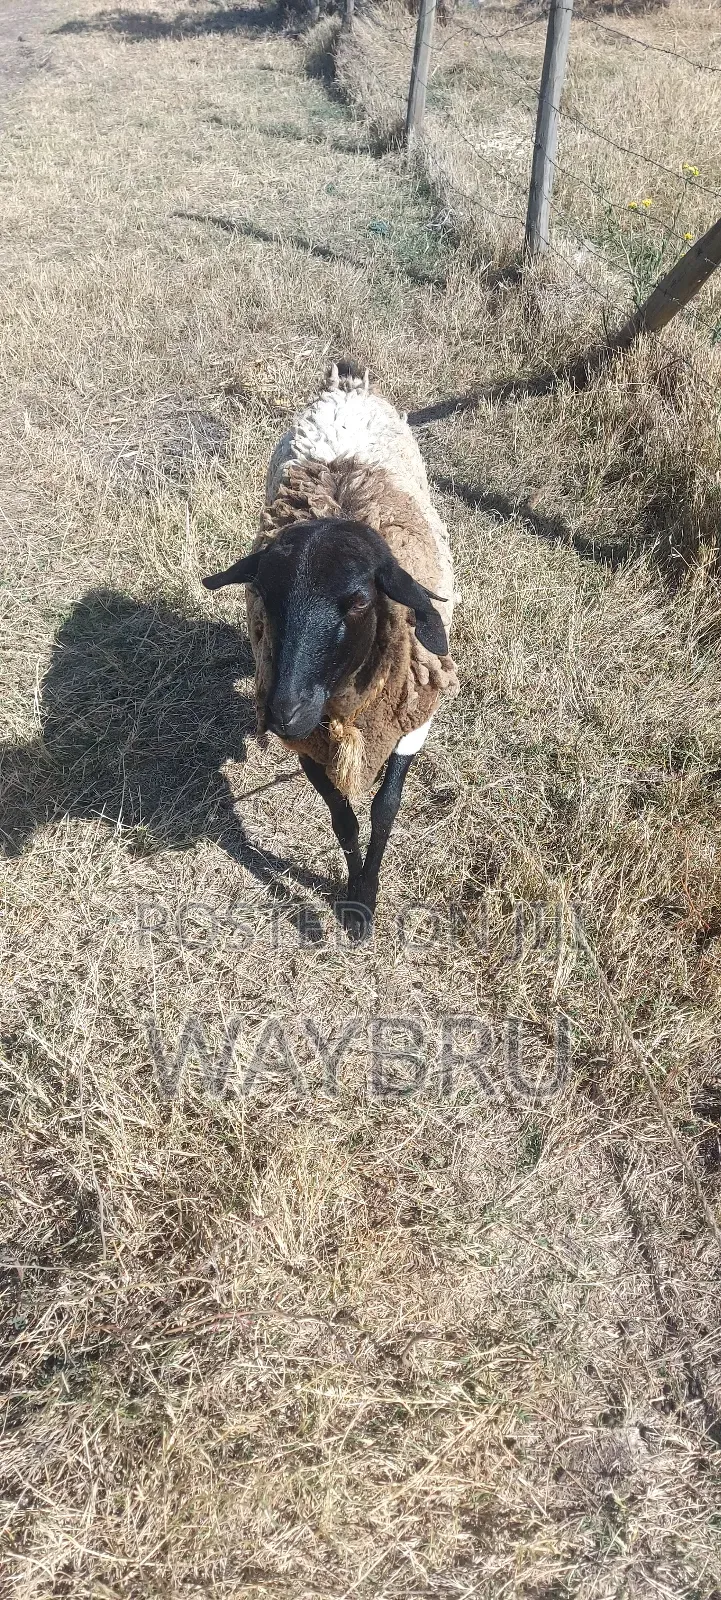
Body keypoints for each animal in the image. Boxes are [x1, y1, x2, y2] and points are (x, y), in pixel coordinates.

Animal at [203, 363, 458, 938]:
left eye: (360, 599)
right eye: (262, 593)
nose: (283, 712)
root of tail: (345, 385)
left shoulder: (415, 718)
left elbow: (386, 808)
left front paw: (366, 896)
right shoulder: (309, 744)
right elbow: (343, 818)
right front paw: (352, 901)